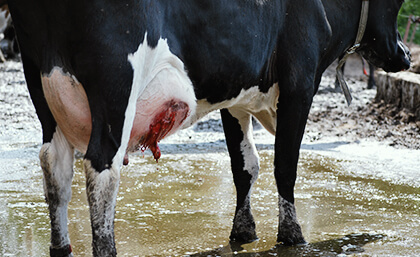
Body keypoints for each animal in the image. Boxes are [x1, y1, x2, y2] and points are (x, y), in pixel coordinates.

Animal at [5, 0, 410, 255]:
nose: (406, 55)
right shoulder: (299, 82)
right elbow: (285, 165)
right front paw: (291, 235)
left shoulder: (236, 92)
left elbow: (245, 166)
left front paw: (243, 231)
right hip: (115, 85)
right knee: (102, 169)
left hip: (42, 85)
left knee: (55, 167)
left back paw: (61, 248)